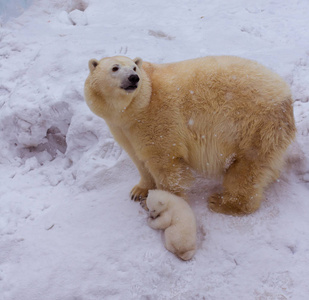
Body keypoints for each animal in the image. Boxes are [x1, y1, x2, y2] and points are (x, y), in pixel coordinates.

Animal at [83, 55, 294, 216]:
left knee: (247, 168)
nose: (134, 78)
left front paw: (165, 203)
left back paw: (222, 202)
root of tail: (286, 99)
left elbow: (165, 163)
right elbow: (138, 158)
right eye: (115, 68)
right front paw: (138, 191)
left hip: (253, 127)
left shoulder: (158, 119)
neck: (138, 107)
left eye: (134, 67)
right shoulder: (122, 129)